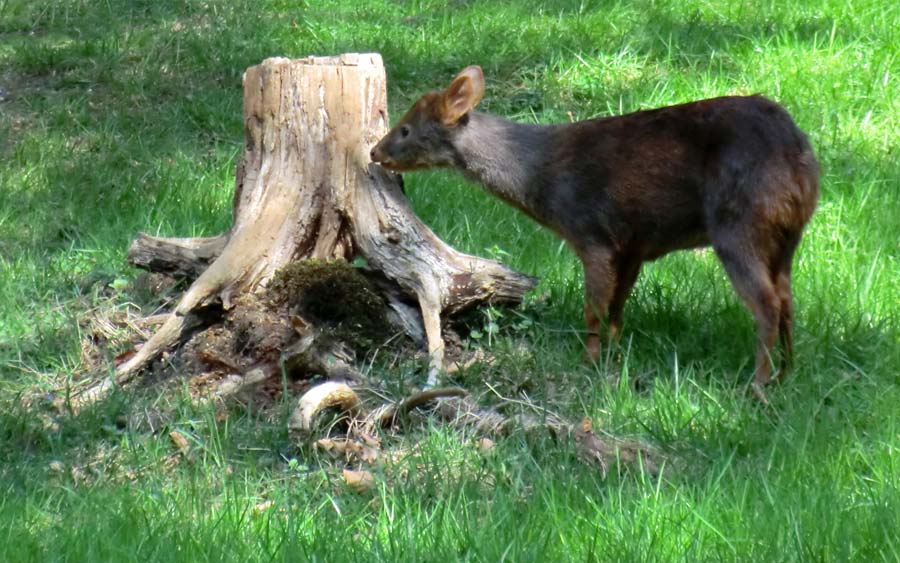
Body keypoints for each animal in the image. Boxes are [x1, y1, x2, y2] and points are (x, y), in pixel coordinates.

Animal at [370, 66, 820, 400]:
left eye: (406, 128)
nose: (374, 151)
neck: (539, 175)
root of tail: (800, 159)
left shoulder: (592, 233)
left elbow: (594, 308)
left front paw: (588, 361)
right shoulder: (633, 244)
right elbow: (618, 308)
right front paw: (615, 355)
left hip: (737, 224)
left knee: (767, 302)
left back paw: (758, 384)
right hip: (785, 237)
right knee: (787, 297)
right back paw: (787, 373)